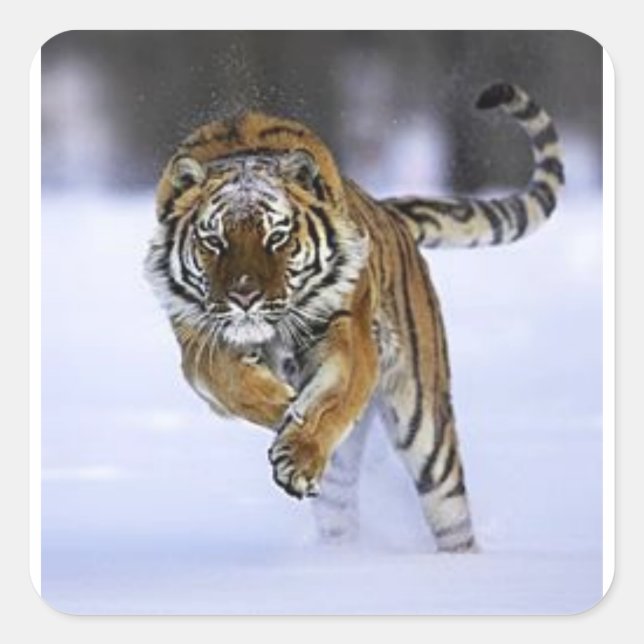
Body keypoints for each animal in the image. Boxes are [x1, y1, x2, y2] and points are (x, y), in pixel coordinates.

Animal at [144, 83, 563, 553]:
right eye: (214, 240)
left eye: (277, 236)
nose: (244, 296)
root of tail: (388, 212)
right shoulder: (198, 338)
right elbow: (228, 378)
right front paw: (282, 404)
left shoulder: (348, 336)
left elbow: (330, 399)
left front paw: (299, 450)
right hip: (343, 483)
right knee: (340, 511)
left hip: (426, 429)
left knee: (450, 510)